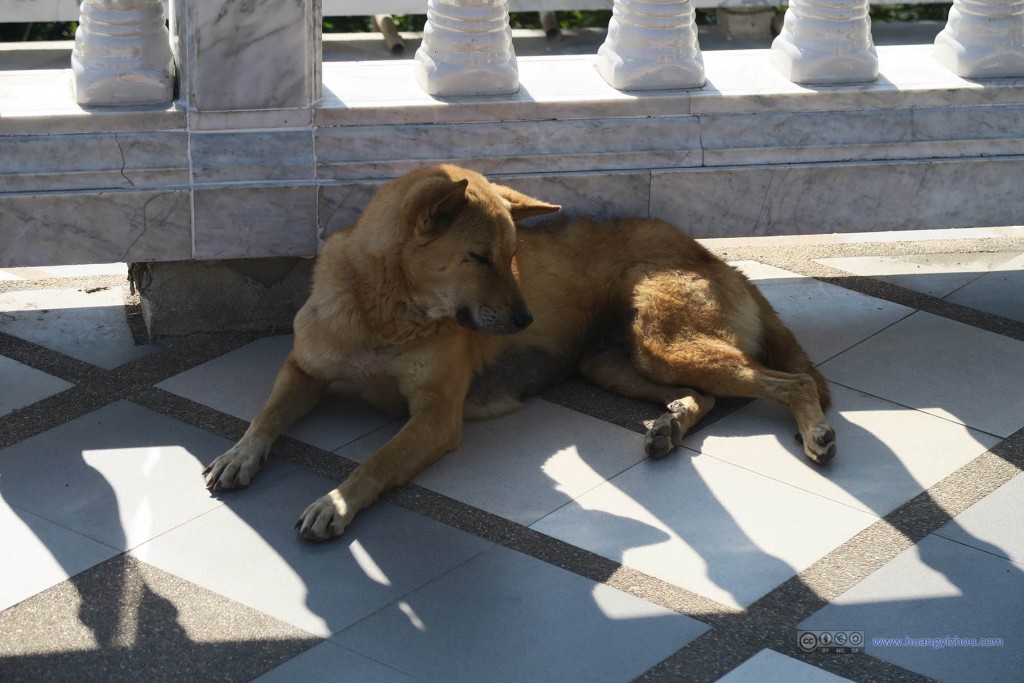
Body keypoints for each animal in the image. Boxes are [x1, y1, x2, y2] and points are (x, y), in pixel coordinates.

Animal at [203, 163, 835, 540]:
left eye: (513, 256)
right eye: (479, 258)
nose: (526, 318)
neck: (385, 309)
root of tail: (714, 258)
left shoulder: (436, 417)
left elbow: (375, 461)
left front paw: (336, 502)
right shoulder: (304, 368)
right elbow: (266, 415)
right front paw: (239, 454)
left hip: (664, 344)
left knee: (794, 382)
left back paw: (816, 433)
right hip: (612, 362)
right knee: (704, 395)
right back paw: (670, 424)